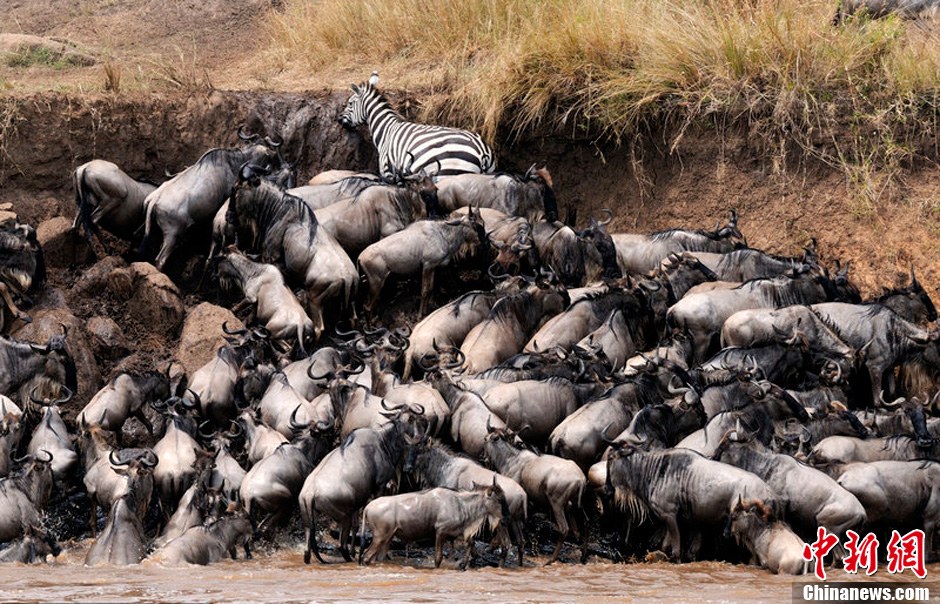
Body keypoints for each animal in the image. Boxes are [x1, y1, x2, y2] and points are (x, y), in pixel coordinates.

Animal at [340, 72, 500, 180]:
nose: (339, 119)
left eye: (350, 103)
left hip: (450, 172)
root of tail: (481, 149)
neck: (386, 130)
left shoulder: (388, 171)